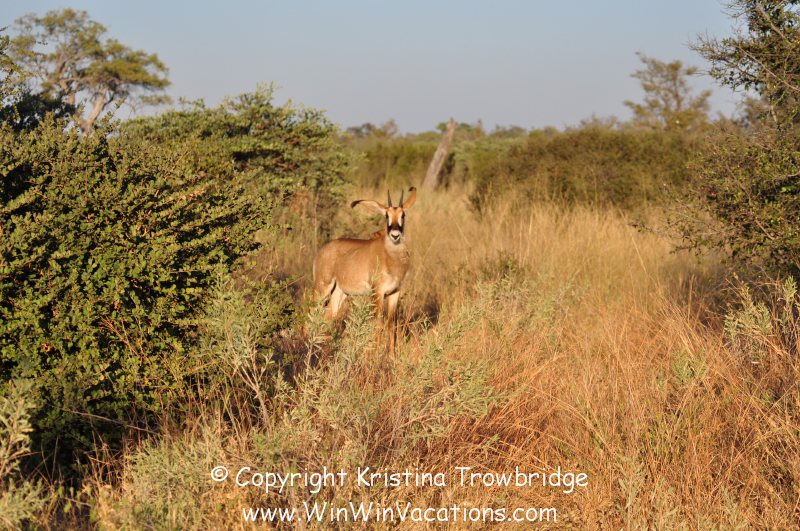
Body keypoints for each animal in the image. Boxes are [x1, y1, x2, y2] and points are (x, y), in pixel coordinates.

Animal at [312, 187, 417, 355]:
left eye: (403, 215)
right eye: (386, 215)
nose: (395, 235)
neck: (390, 257)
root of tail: (322, 250)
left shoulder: (394, 293)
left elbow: (391, 325)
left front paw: (392, 355)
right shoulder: (378, 292)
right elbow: (378, 322)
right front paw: (376, 354)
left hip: (339, 293)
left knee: (327, 316)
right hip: (322, 288)